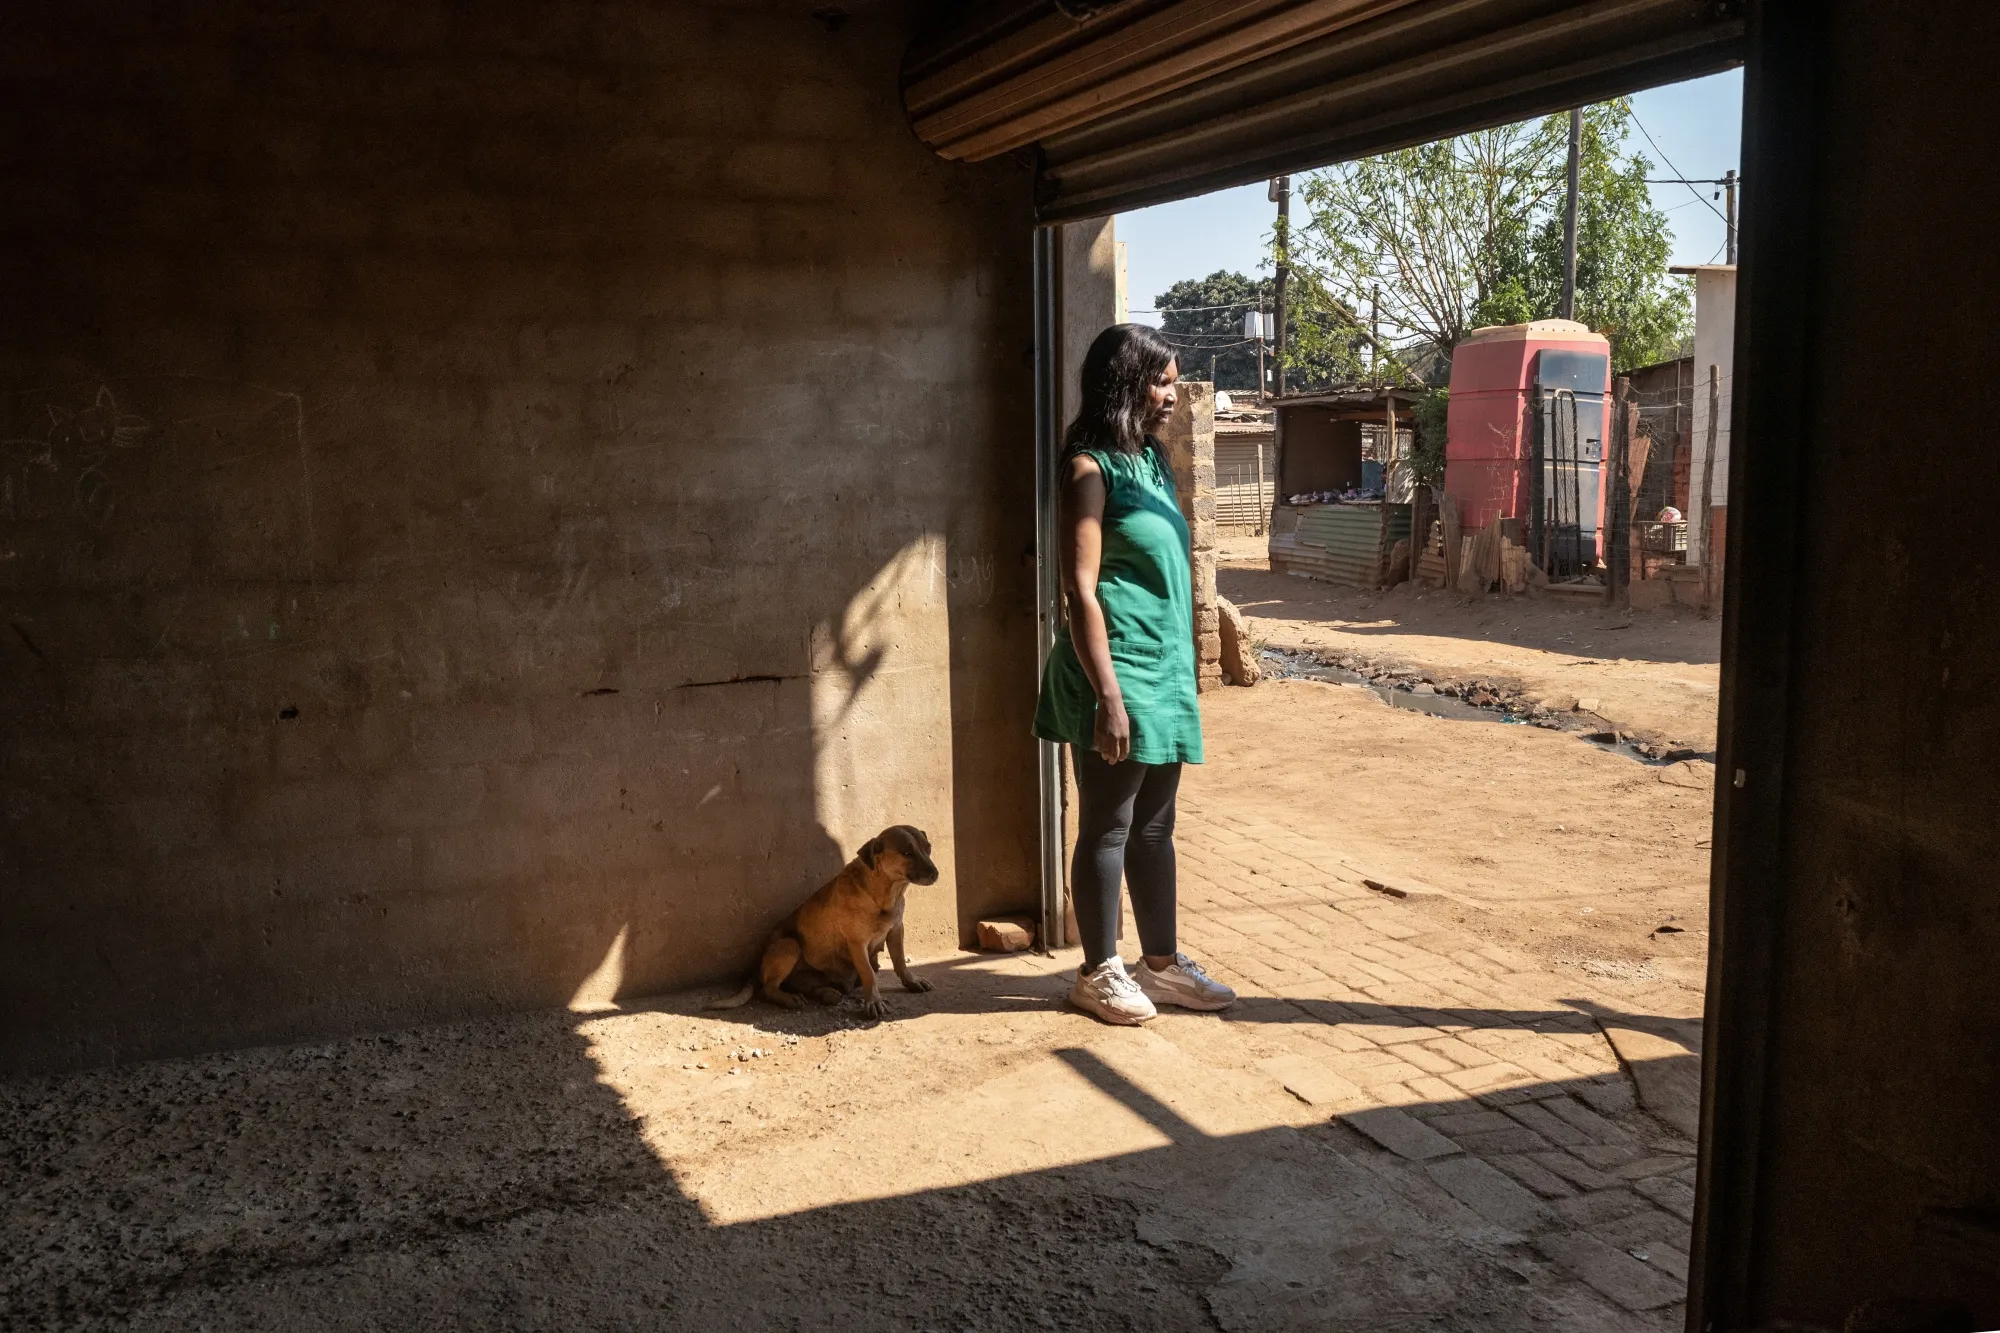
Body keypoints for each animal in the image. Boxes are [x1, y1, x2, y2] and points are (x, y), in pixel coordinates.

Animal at [708, 820, 940, 1016]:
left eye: (928, 848)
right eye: (906, 852)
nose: (935, 874)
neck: (883, 893)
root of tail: (757, 968)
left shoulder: (896, 930)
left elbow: (900, 962)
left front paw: (911, 981)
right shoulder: (858, 943)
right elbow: (869, 974)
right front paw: (873, 1001)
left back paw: (825, 993)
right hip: (789, 945)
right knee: (768, 988)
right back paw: (789, 998)